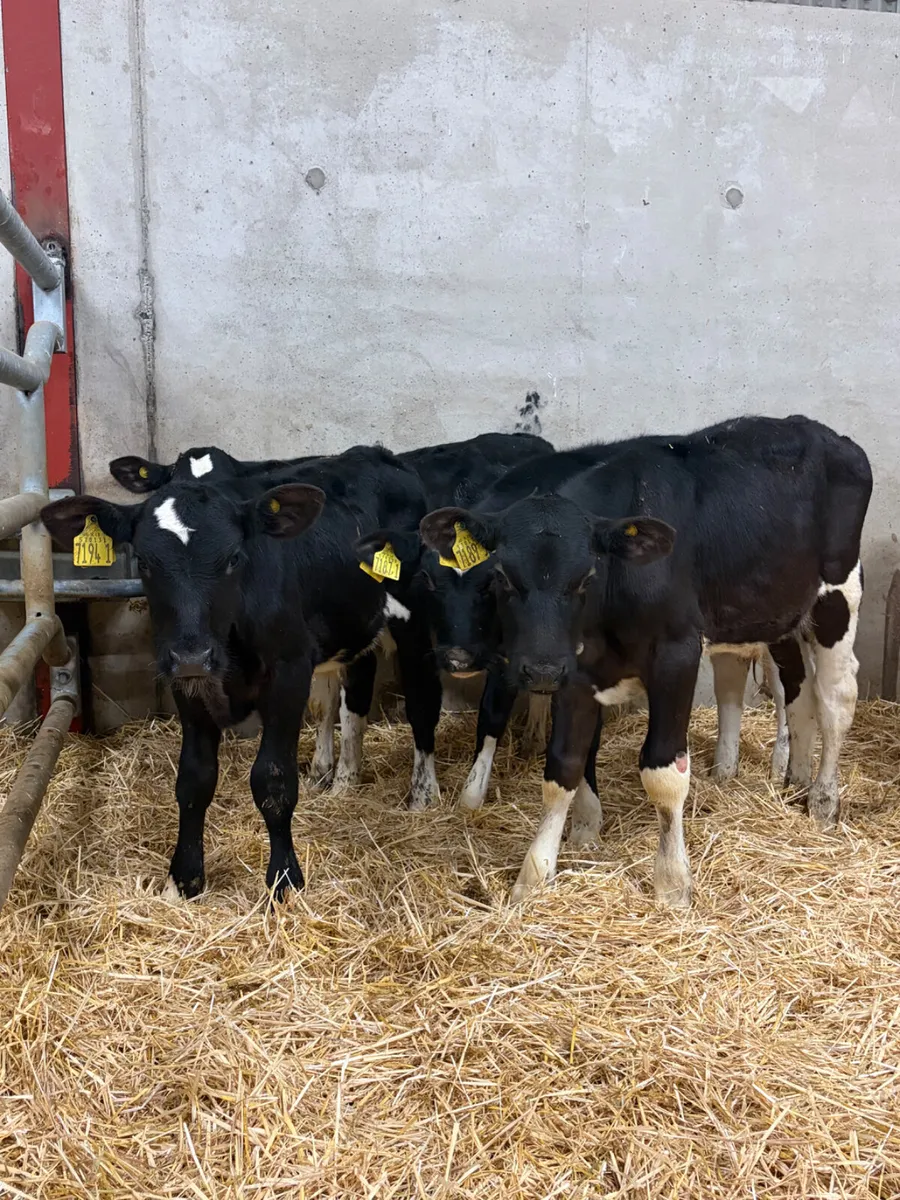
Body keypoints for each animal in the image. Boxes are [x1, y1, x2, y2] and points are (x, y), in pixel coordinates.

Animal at [42, 445, 434, 897]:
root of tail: (377, 452)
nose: (192, 654)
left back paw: (423, 796)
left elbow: (273, 779)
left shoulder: (288, 672)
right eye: (142, 560)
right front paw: (184, 880)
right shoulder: (189, 684)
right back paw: (339, 781)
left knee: (421, 706)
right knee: (351, 696)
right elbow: (194, 780)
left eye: (233, 558)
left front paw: (285, 881)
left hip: (415, 621)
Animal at [419, 415, 872, 907]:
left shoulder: (676, 653)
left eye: (586, 576)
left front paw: (672, 883)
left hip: (837, 597)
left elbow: (663, 772)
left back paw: (823, 801)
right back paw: (790, 779)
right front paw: (536, 875)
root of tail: (821, 431)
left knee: (835, 700)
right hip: (773, 614)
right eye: (503, 576)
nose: (540, 669)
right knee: (794, 694)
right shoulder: (575, 672)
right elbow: (564, 767)